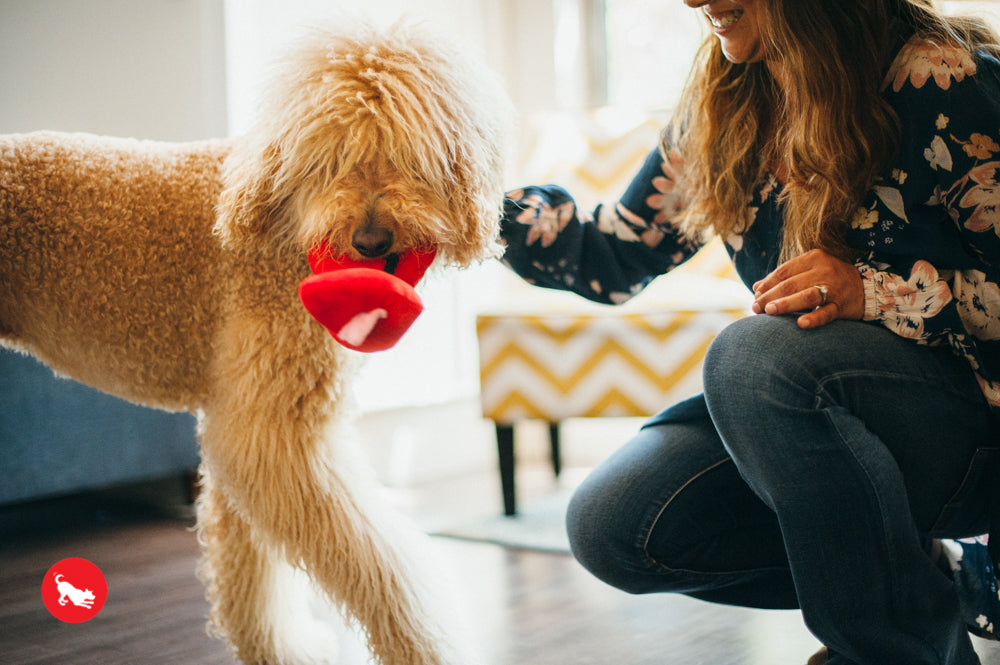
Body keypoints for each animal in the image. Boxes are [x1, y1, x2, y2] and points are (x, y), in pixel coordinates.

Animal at [1, 20, 508, 664]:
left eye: (407, 155)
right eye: (330, 158)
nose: (370, 240)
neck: (284, 230)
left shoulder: (249, 428)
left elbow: (252, 571)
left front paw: (280, 649)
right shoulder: (274, 434)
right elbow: (385, 563)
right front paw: (430, 648)